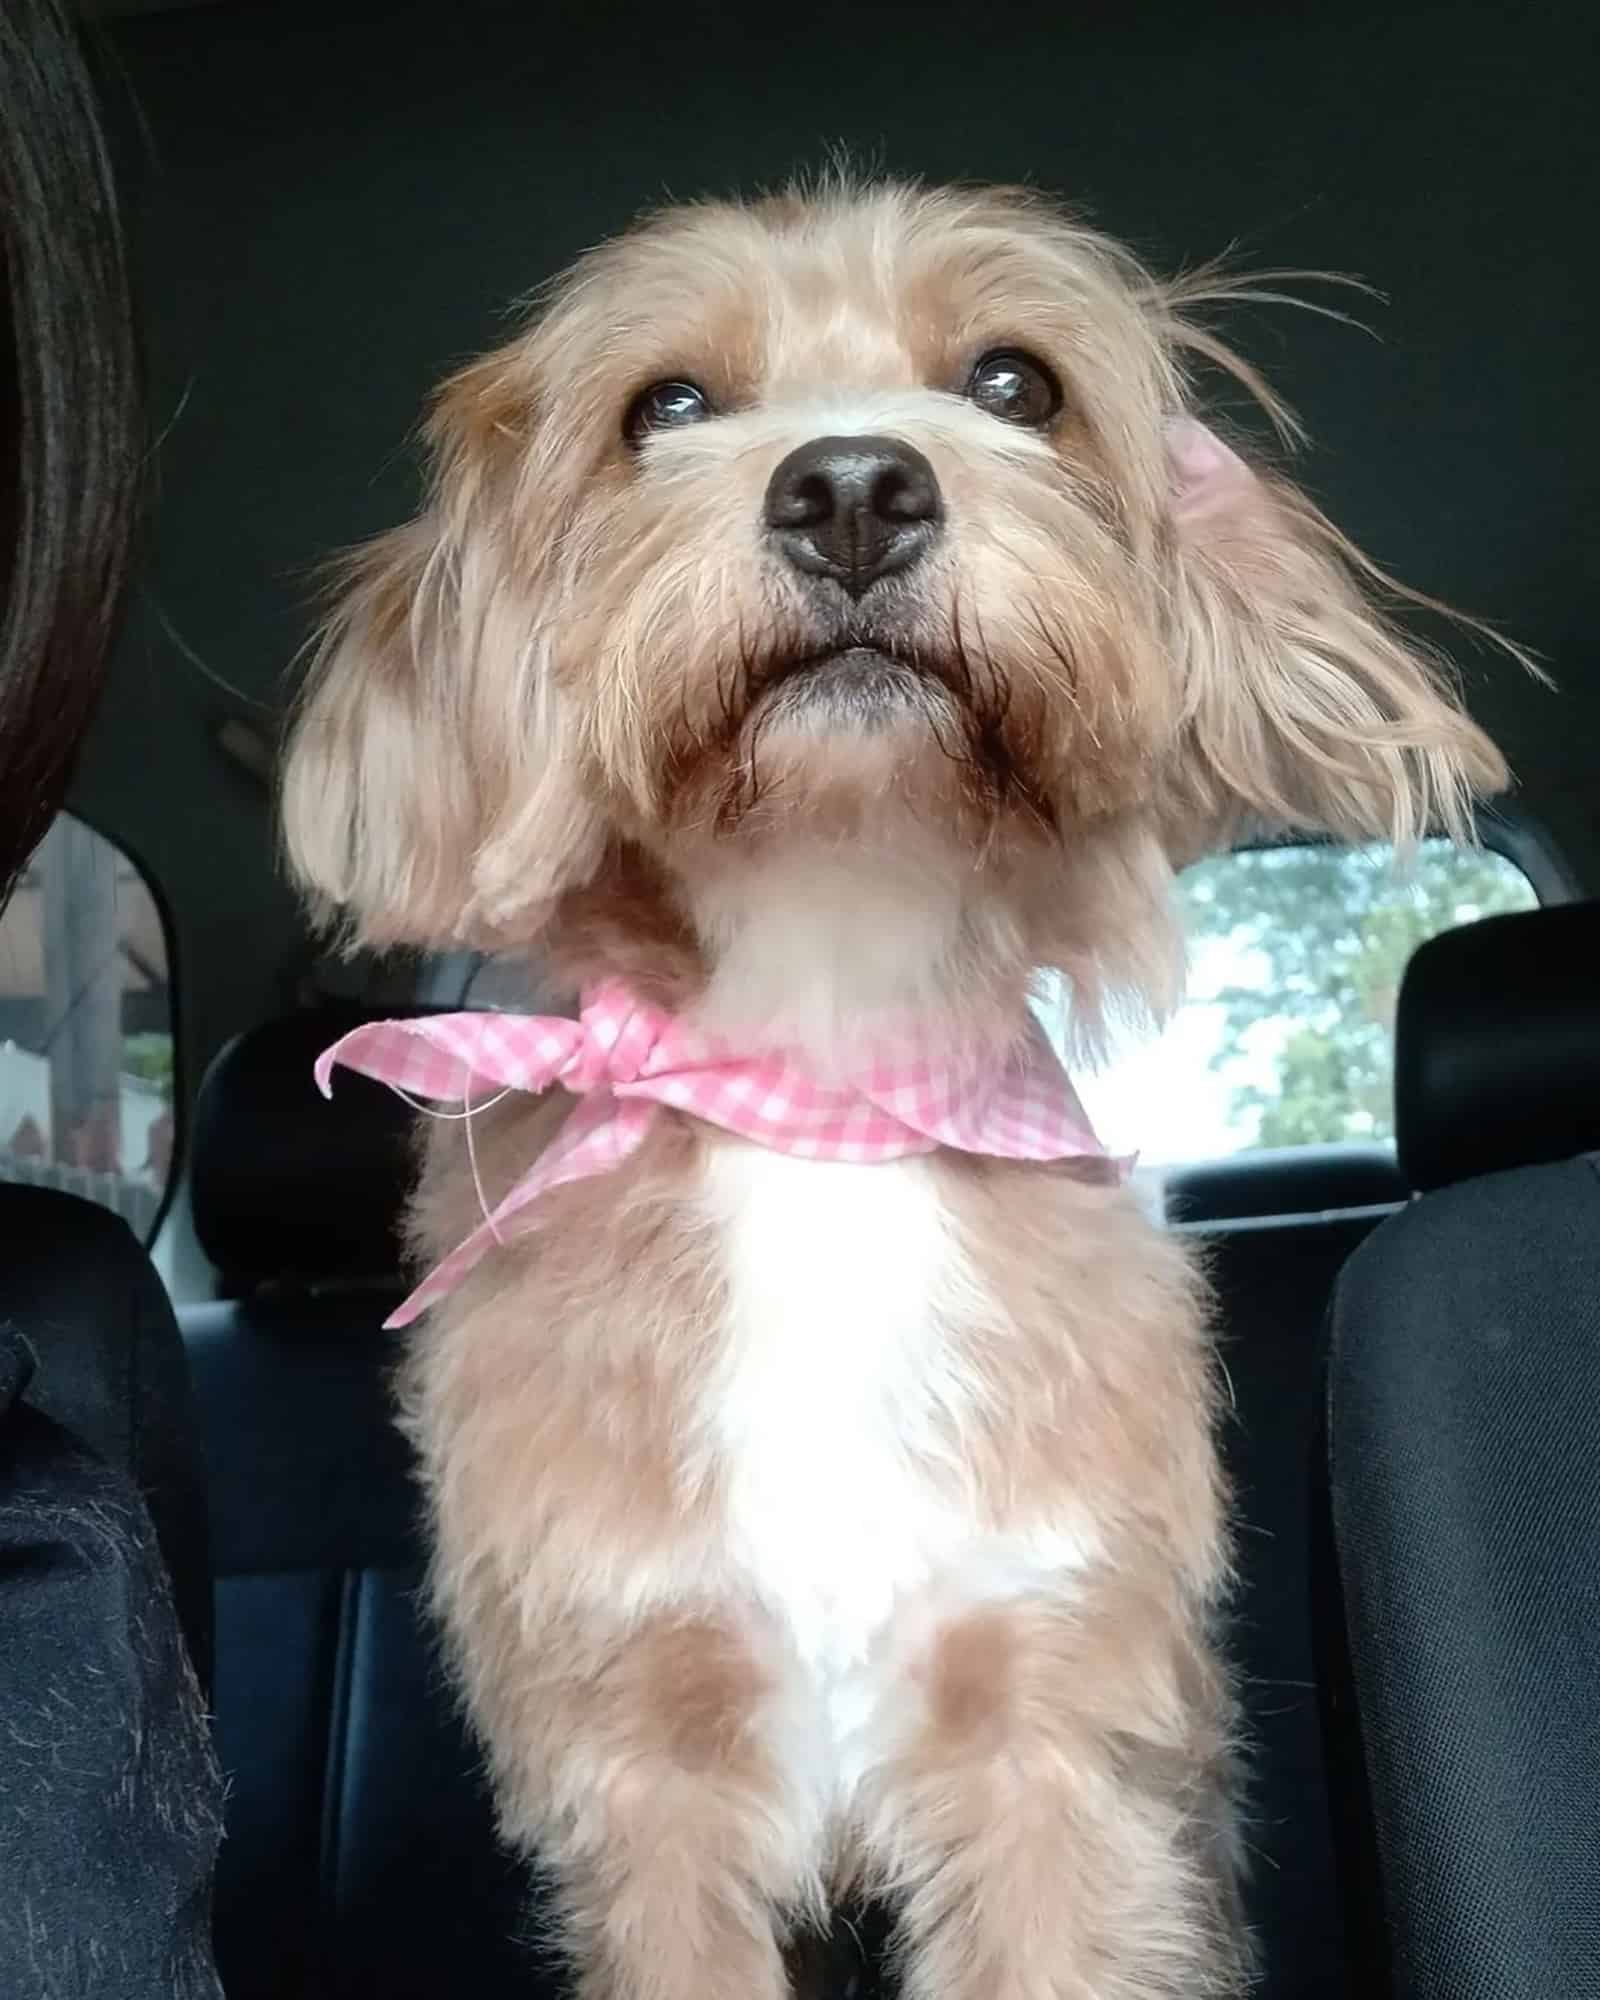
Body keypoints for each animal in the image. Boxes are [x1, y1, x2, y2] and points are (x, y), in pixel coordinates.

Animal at [284, 180, 1504, 1992]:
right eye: (663, 405)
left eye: (1014, 384)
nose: (854, 486)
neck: (823, 1077)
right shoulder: (651, 1774)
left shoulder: (1048, 1737)